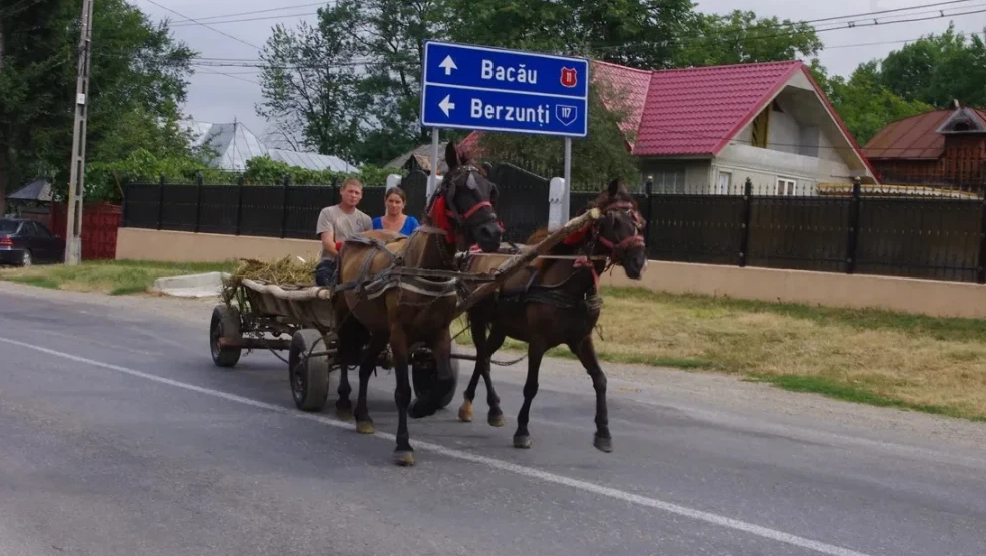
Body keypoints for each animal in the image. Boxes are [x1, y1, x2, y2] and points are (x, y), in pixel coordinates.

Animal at [332, 141, 504, 466]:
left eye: (491, 189)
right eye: (459, 187)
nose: (493, 233)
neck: (427, 269)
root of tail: (356, 238)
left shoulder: (439, 331)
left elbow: (444, 378)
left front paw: (423, 406)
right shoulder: (400, 334)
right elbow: (401, 390)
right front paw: (403, 444)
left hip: (379, 330)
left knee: (364, 364)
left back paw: (364, 416)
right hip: (347, 316)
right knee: (345, 354)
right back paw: (345, 401)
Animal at [456, 180, 644, 454]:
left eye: (638, 221)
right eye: (614, 221)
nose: (639, 262)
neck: (570, 286)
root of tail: (473, 253)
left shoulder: (581, 340)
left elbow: (600, 380)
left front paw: (604, 432)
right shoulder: (538, 342)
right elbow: (531, 387)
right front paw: (522, 431)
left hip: (501, 328)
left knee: (485, 358)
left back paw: (480, 405)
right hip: (479, 319)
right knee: (482, 358)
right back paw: (488, 406)